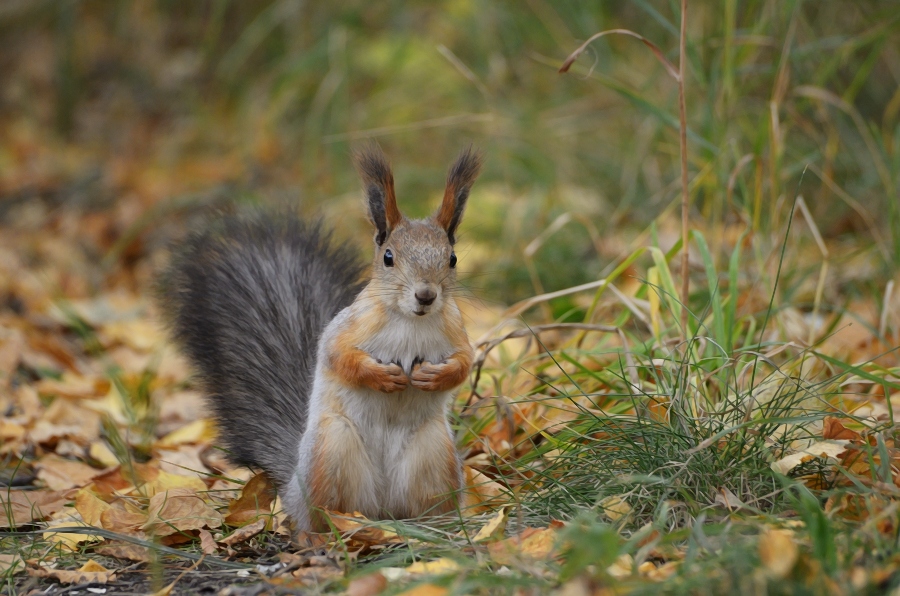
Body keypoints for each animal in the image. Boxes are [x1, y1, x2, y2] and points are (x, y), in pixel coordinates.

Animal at [162, 147, 486, 532]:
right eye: (388, 257)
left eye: (452, 258)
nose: (426, 296)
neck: (411, 322)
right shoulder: (345, 329)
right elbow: (339, 356)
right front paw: (381, 376)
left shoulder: (457, 333)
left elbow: (464, 362)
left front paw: (436, 376)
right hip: (332, 449)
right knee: (322, 514)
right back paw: (328, 531)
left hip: (434, 454)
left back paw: (434, 529)